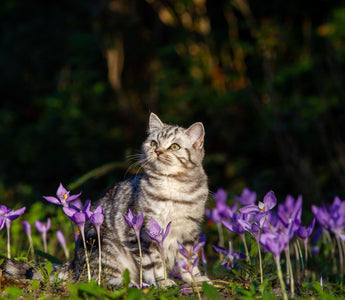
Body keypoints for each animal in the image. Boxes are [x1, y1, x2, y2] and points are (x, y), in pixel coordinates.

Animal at [0, 113, 210, 288]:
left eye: (174, 146)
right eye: (153, 143)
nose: (158, 151)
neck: (172, 188)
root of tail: (74, 264)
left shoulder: (189, 232)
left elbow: (188, 260)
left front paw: (195, 279)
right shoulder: (143, 234)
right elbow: (154, 264)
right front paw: (163, 282)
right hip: (105, 248)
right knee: (101, 279)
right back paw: (133, 284)